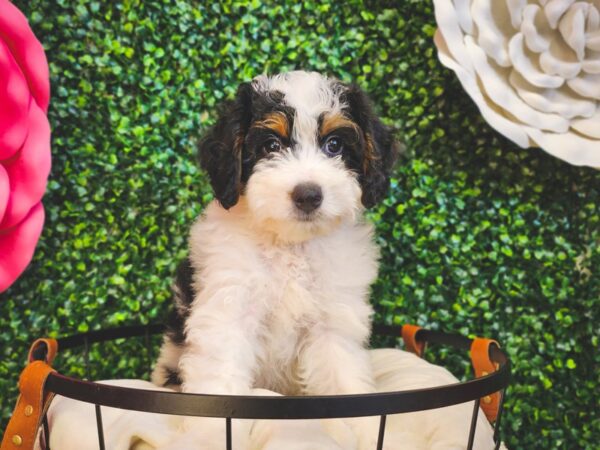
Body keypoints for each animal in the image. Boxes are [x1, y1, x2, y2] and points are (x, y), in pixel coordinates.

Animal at [152, 72, 400, 448]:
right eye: (270, 145)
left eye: (334, 145)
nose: (308, 194)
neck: (290, 244)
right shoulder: (229, 309)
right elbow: (220, 378)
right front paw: (210, 436)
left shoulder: (332, 320)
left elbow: (343, 374)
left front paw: (368, 431)